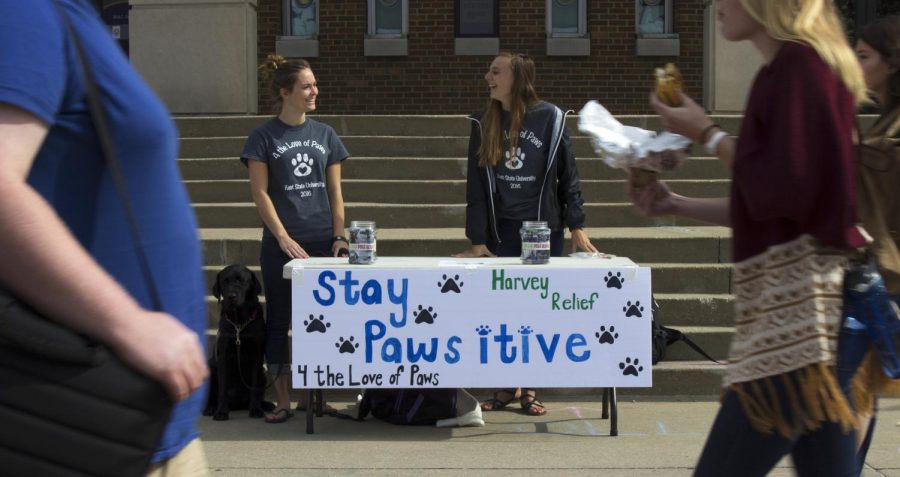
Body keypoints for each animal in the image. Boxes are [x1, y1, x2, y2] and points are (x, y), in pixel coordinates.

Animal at [204, 262, 270, 418]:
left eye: (242, 281)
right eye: (225, 281)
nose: (231, 296)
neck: (239, 323)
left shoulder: (257, 356)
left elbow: (254, 387)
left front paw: (255, 409)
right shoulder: (223, 356)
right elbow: (222, 388)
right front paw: (221, 411)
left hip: (263, 373)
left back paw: (264, 405)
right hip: (209, 371)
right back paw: (211, 408)